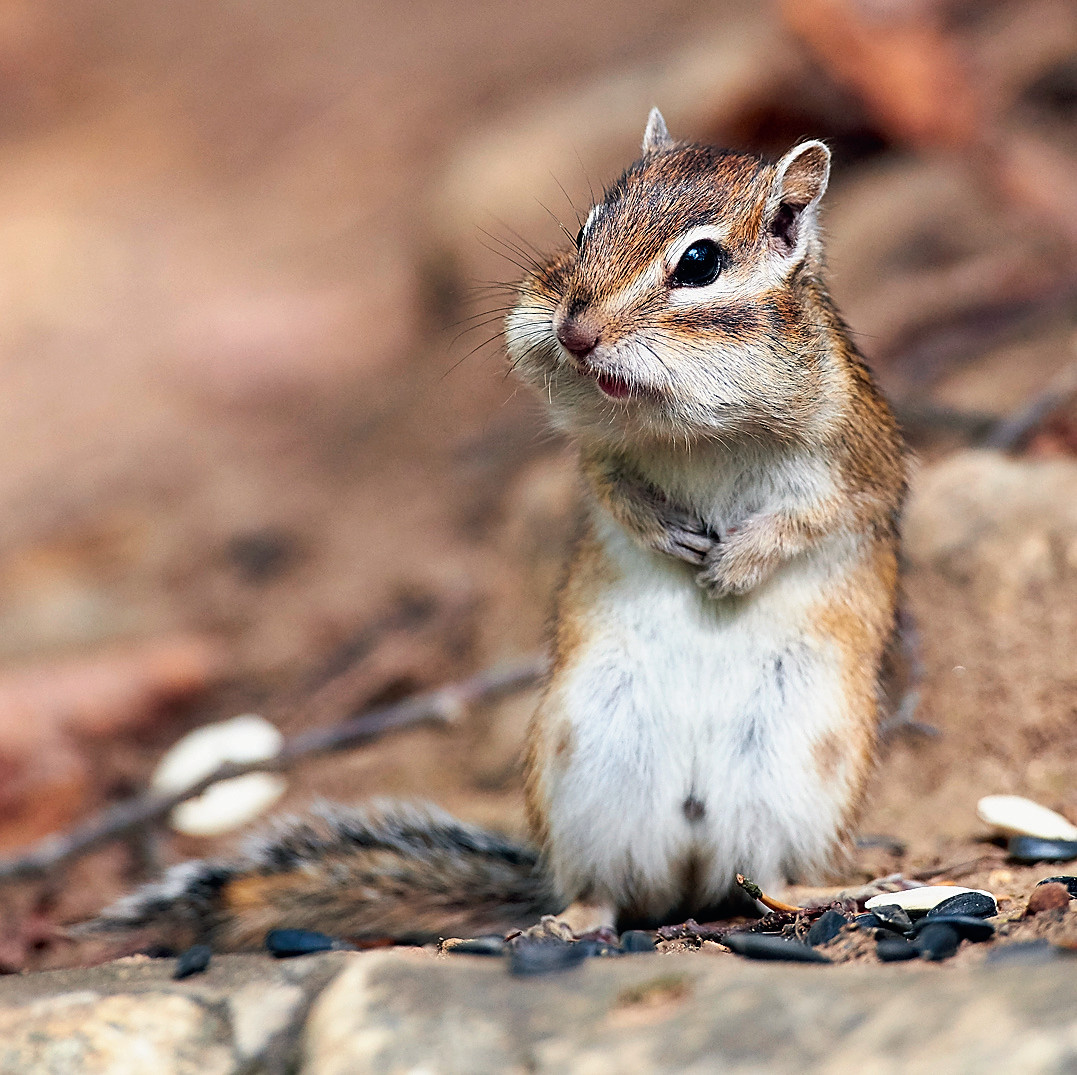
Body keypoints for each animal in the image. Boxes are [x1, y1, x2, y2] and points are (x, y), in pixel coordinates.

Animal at [86, 110, 906, 951]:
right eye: (582, 230)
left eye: (700, 262)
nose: (575, 331)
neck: (691, 431)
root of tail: (688, 874)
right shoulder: (601, 454)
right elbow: (607, 488)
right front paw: (663, 532)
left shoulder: (858, 457)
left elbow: (821, 514)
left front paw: (737, 560)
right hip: (582, 771)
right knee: (603, 891)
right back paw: (565, 922)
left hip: (800, 777)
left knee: (770, 875)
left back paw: (828, 889)